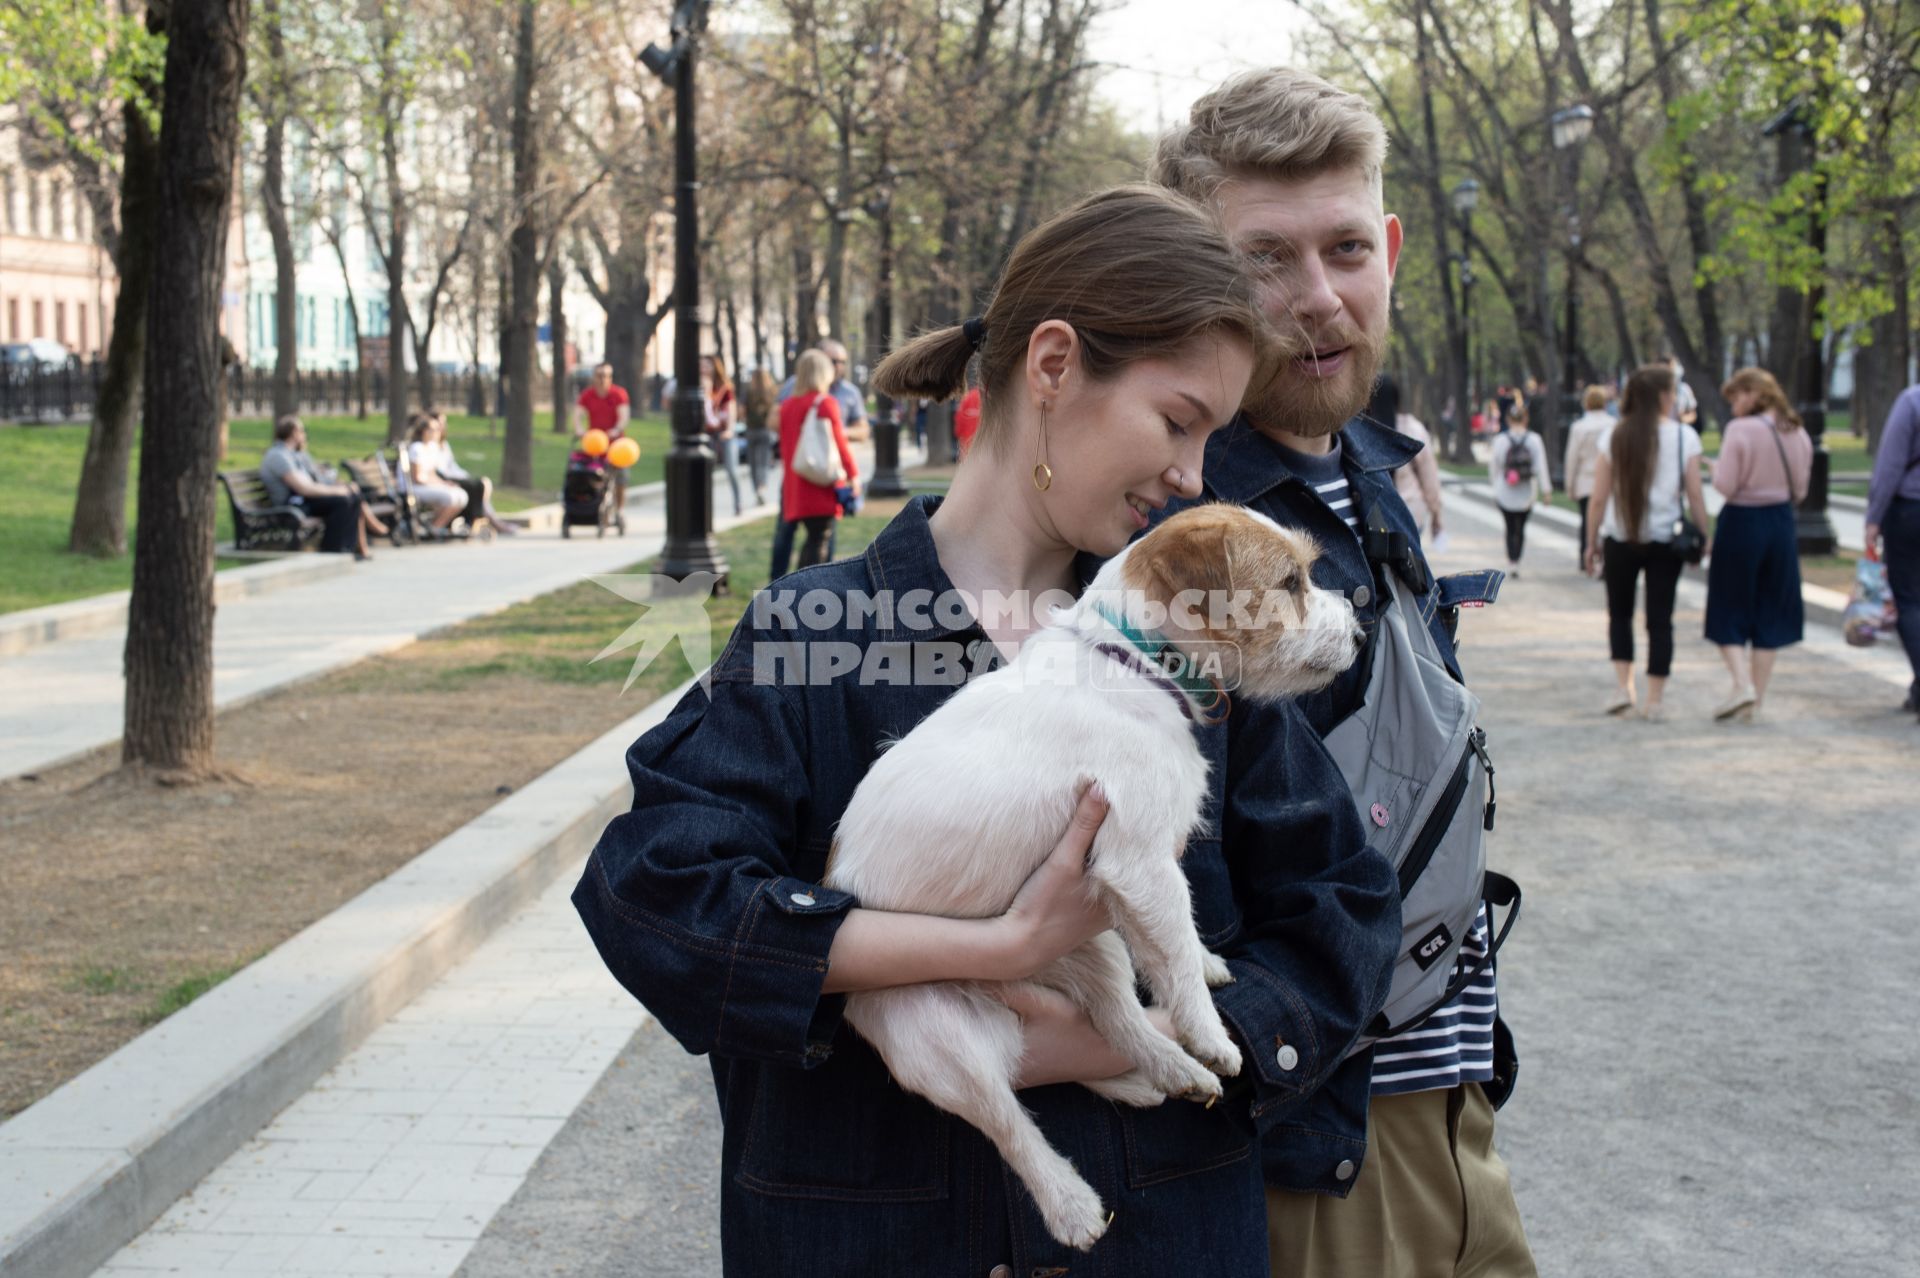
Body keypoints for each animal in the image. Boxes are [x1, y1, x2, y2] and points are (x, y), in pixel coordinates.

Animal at [825, 502, 1367, 1251]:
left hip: (1091, 938)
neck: (1133, 659)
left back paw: (1160, 1075)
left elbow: (1173, 947)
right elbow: (1174, 946)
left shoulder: (1129, 882)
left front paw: (1205, 976)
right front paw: (1209, 1032)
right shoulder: (1138, 862)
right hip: (937, 1039)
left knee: (1113, 1017)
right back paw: (1073, 1203)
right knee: (1008, 1123)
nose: (1360, 633)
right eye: (1291, 581)